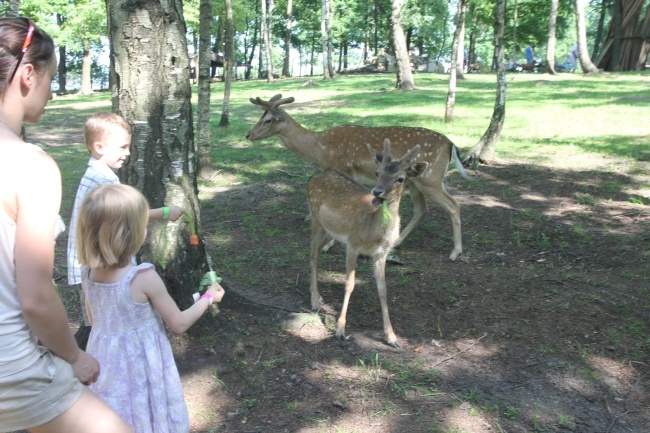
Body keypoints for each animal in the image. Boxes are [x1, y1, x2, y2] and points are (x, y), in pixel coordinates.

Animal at [244, 93, 470, 260]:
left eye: (268, 120)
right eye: (260, 116)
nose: (248, 134)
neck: (319, 150)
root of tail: (451, 144)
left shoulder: (342, 168)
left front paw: (329, 244)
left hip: (431, 178)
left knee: (453, 205)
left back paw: (455, 253)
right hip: (415, 182)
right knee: (422, 209)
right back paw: (397, 243)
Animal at [308, 138, 426, 348]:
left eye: (400, 178)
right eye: (377, 172)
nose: (377, 192)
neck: (374, 233)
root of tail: (313, 177)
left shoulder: (381, 254)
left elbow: (383, 289)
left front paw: (392, 337)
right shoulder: (352, 244)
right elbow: (349, 284)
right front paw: (340, 331)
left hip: (330, 231)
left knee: (318, 252)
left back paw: (318, 296)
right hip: (316, 220)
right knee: (313, 255)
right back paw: (314, 300)